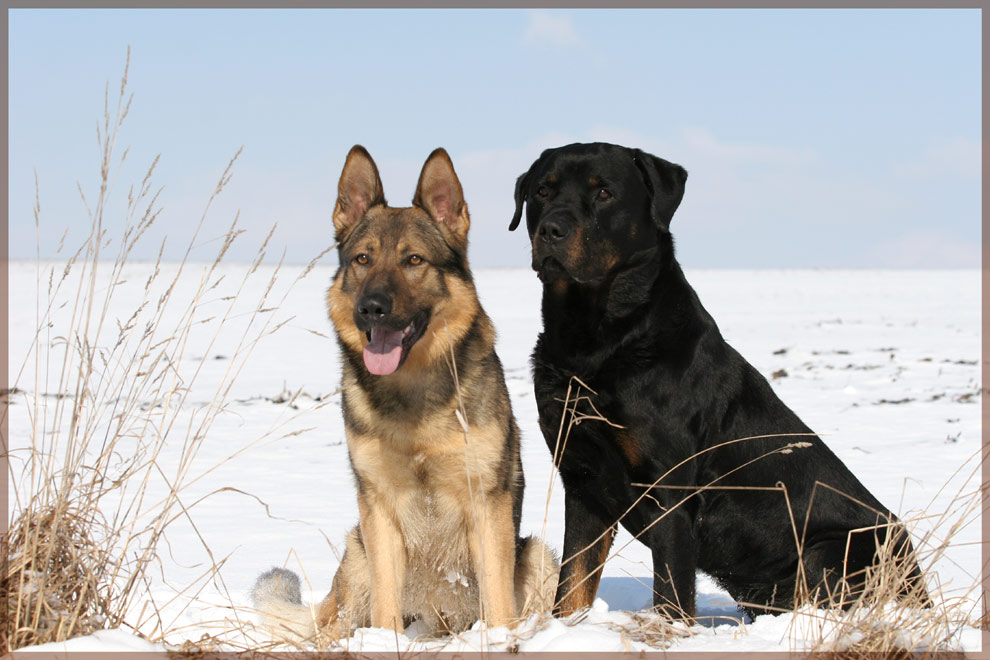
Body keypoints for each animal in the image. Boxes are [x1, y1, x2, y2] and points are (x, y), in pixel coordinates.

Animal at [254, 146, 560, 644]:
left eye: (414, 260)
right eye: (362, 259)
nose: (371, 308)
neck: (413, 394)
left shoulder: (486, 502)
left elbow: (497, 600)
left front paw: (498, 641)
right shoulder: (378, 506)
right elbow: (385, 605)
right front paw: (385, 644)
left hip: (537, 556)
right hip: (357, 554)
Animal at [512, 142, 928, 620]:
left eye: (604, 193)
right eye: (542, 191)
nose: (552, 228)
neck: (593, 339)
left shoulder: (670, 490)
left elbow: (672, 594)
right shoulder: (583, 481)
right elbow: (572, 586)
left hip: (832, 551)